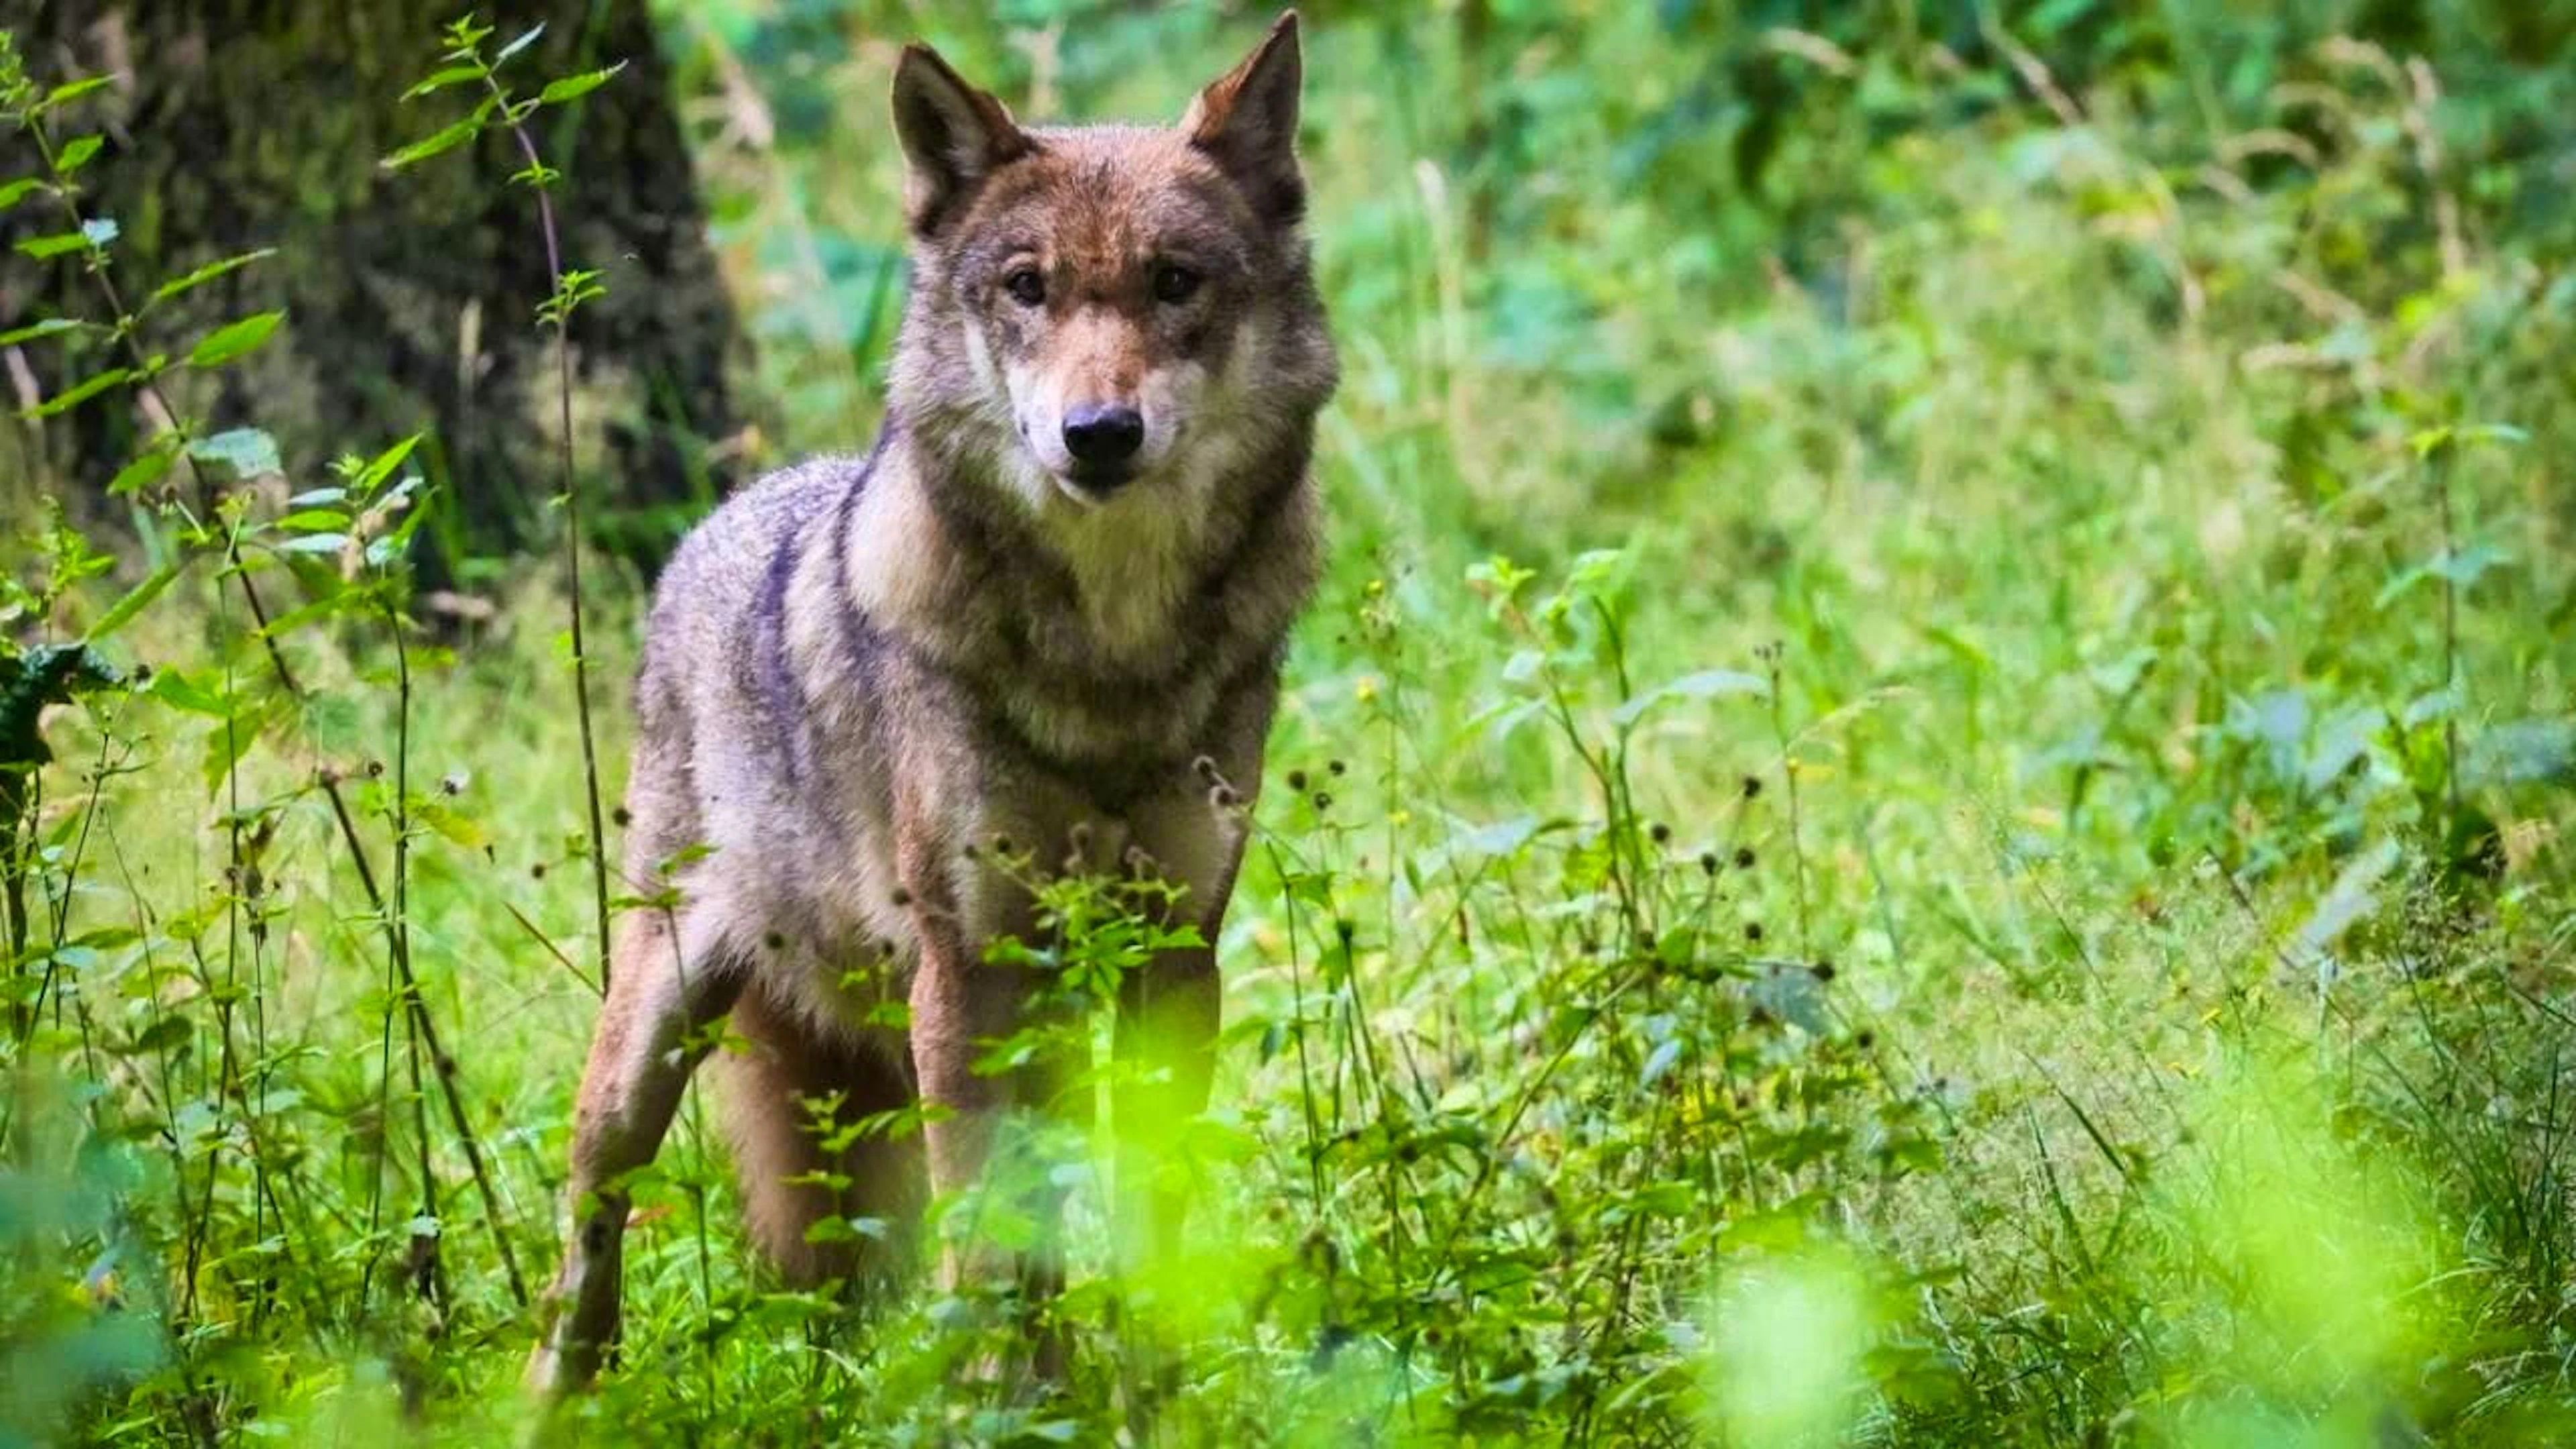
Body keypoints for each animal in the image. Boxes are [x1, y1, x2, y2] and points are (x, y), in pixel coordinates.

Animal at [525, 12, 1335, 1395]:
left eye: (1176, 282)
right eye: (1027, 287)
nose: (1098, 433)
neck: (1110, 657)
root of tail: (718, 522)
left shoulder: (1175, 956)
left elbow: (1149, 1217)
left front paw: (1153, 1389)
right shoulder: (968, 971)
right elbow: (987, 1236)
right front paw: (1001, 1403)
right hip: (652, 1042)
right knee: (587, 1238)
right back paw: (551, 1400)